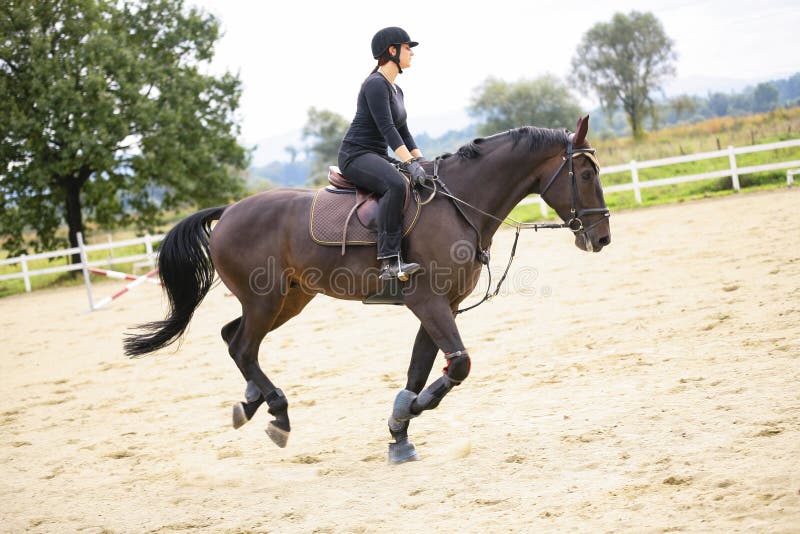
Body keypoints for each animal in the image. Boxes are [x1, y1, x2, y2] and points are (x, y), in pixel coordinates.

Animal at [124, 115, 611, 464]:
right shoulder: (427, 301)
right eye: (586, 175)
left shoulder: (442, 305)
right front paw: (410, 412)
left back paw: (250, 403)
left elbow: (421, 369)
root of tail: (228, 212)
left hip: (290, 299)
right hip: (266, 299)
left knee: (234, 338)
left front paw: (399, 431)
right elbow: (458, 365)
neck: (459, 205)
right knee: (243, 346)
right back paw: (278, 412)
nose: (602, 237)